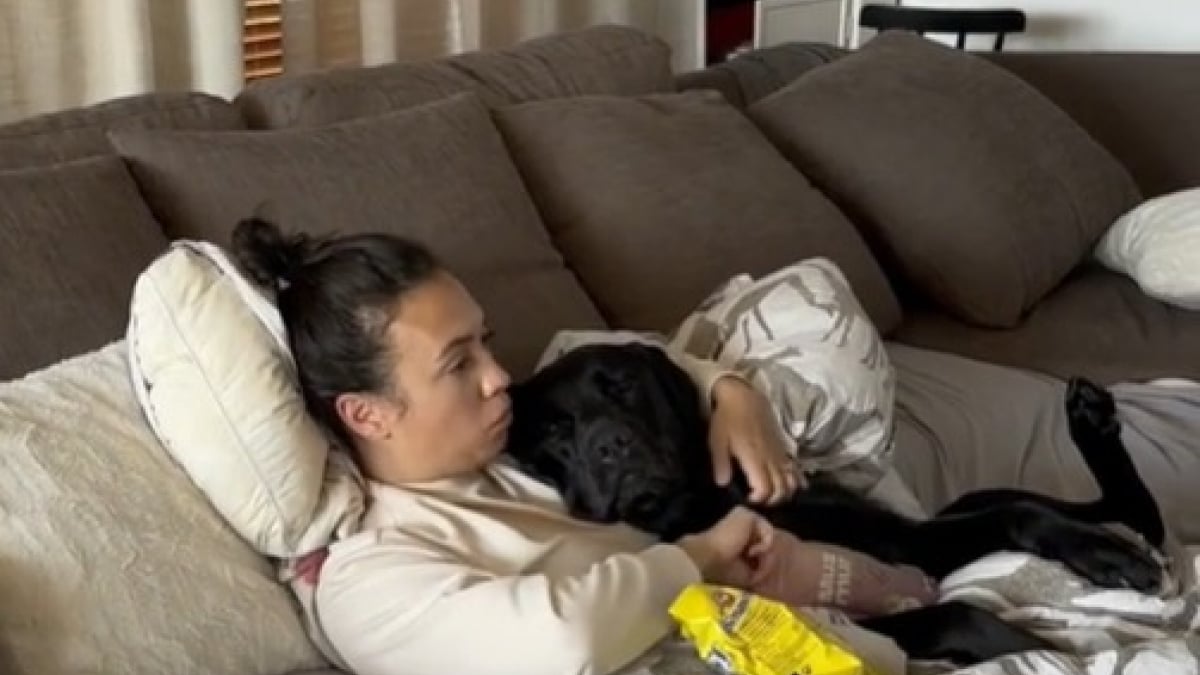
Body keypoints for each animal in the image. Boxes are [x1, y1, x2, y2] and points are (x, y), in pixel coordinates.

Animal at [501, 341, 1166, 662]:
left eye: (622, 385)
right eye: (554, 431)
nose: (611, 446)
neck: (705, 498)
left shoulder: (905, 542)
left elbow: (1022, 516)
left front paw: (1103, 557)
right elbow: (960, 613)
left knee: (1124, 511)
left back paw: (1094, 431)